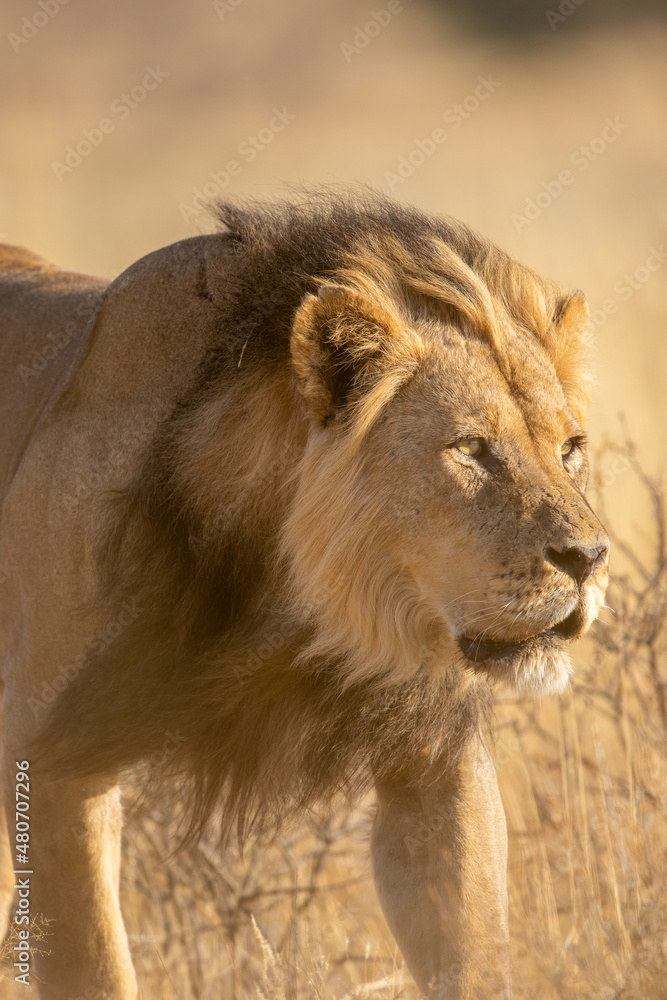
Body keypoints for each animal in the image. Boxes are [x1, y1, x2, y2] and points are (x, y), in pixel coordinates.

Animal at [0, 191, 609, 999]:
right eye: (470, 449)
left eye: (569, 449)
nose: (590, 559)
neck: (293, 604)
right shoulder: (55, 757)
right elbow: (93, 965)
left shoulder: (434, 757)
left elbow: (471, 945)